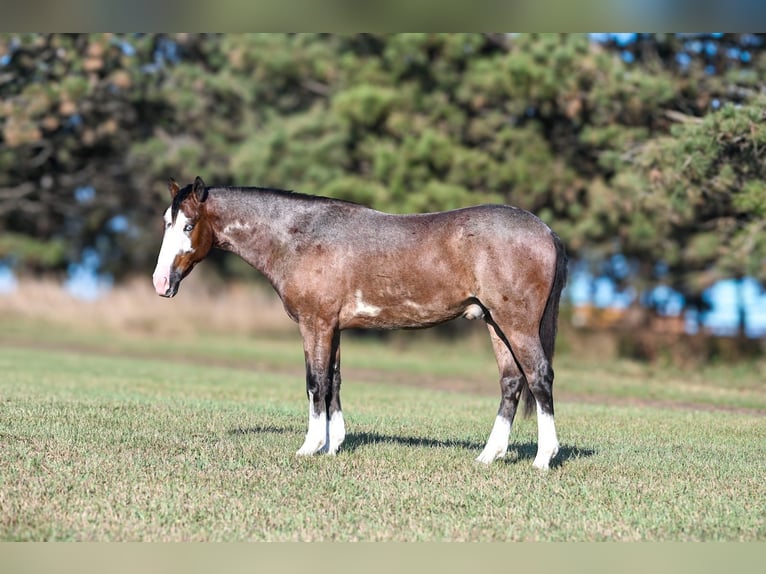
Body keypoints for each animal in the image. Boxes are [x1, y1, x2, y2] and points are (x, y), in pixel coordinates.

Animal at [152, 176, 568, 469]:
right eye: (167, 222)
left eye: (189, 225)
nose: (160, 282)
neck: (301, 237)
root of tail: (547, 231)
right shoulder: (333, 327)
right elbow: (333, 382)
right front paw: (333, 445)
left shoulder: (315, 324)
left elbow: (315, 383)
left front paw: (310, 446)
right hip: (496, 324)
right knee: (511, 382)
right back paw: (488, 455)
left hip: (517, 325)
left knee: (539, 377)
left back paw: (543, 458)